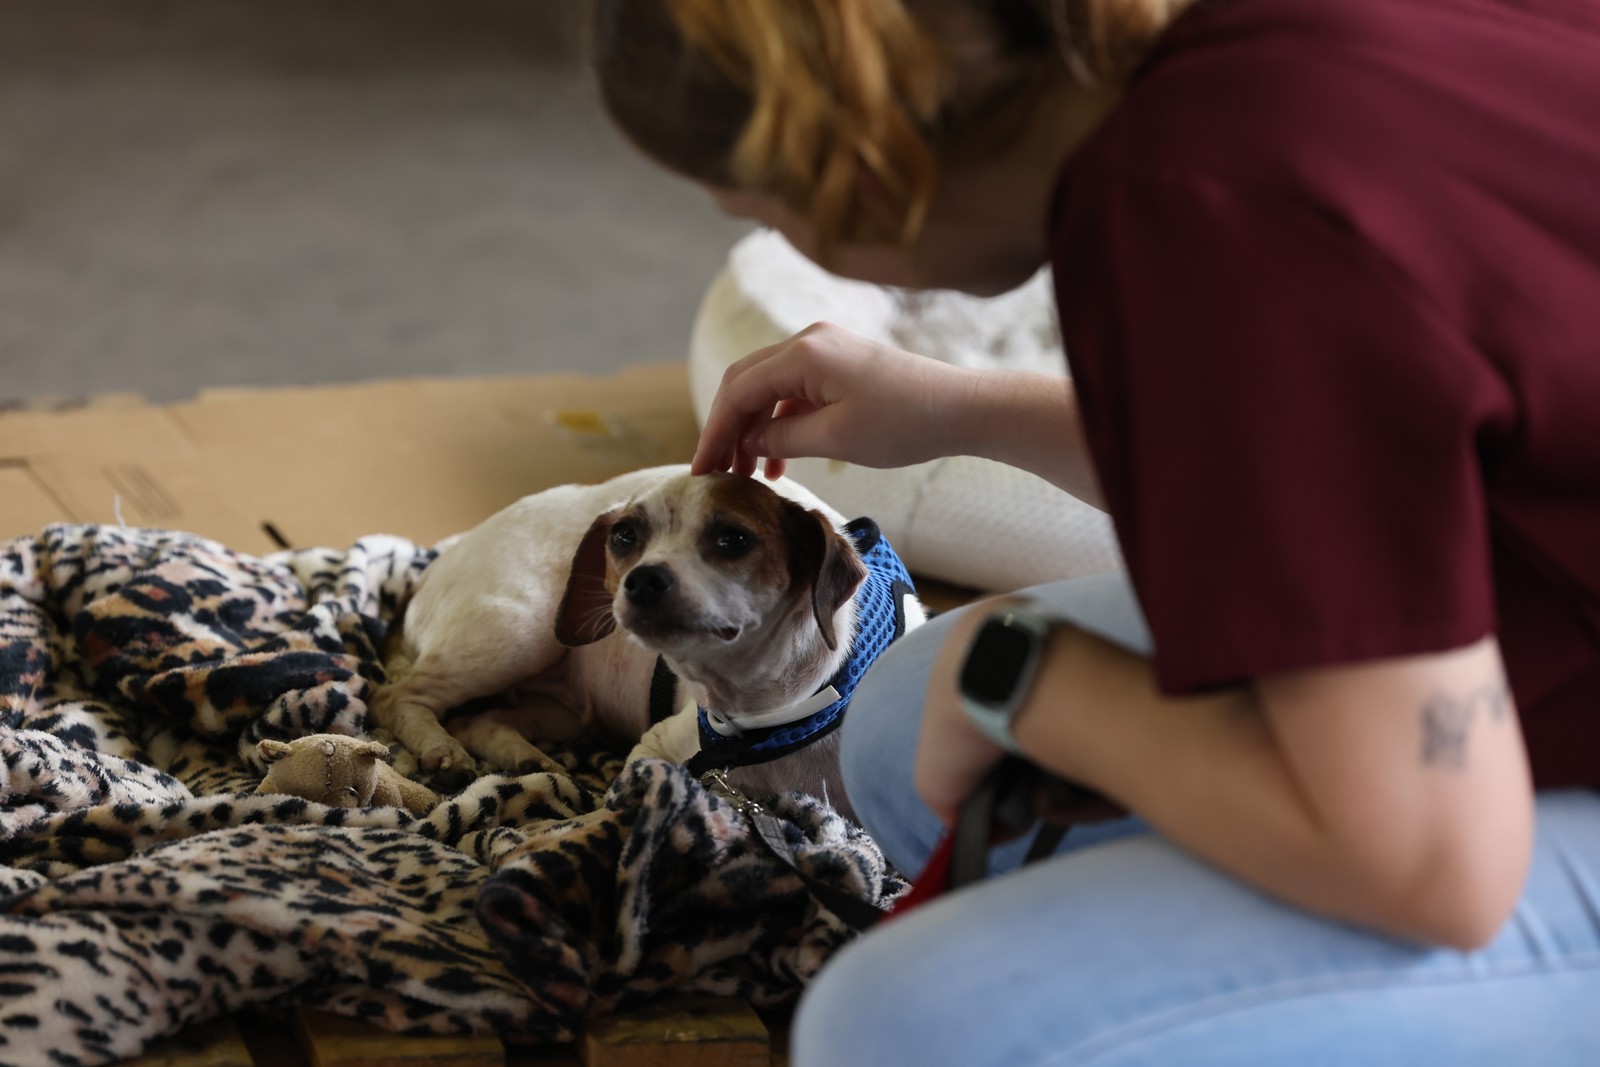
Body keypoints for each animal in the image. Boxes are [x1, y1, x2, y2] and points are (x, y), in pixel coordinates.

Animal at [368, 463, 928, 825]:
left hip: (562, 710)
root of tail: (435, 564)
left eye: (733, 539)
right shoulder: (655, 752)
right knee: (396, 696)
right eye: (624, 537)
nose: (641, 580)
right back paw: (441, 747)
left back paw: (528, 760)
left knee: (479, 720)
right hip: (519, 633)